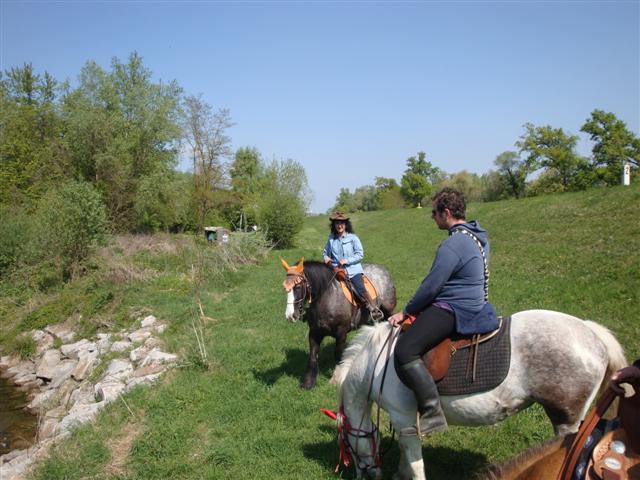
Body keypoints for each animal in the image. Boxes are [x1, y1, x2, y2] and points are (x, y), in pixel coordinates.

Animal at [282, 258, 396, 390]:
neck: (328, 298)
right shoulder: (314, 333)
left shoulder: (341, 333)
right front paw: (308, 382)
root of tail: (382, 269)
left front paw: (337, 379)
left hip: (389, 311)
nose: (290, 316)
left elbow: (338, 355)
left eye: (298, 286)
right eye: (285, 287)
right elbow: (312, 356)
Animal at [332, 310, 628, 478]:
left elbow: (415, 463)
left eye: (345, 442)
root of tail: (591, 333)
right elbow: (409, 456)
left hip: (566, 422)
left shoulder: (402, 416)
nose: (366, 473)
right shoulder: (408, 420)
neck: (375, 362)